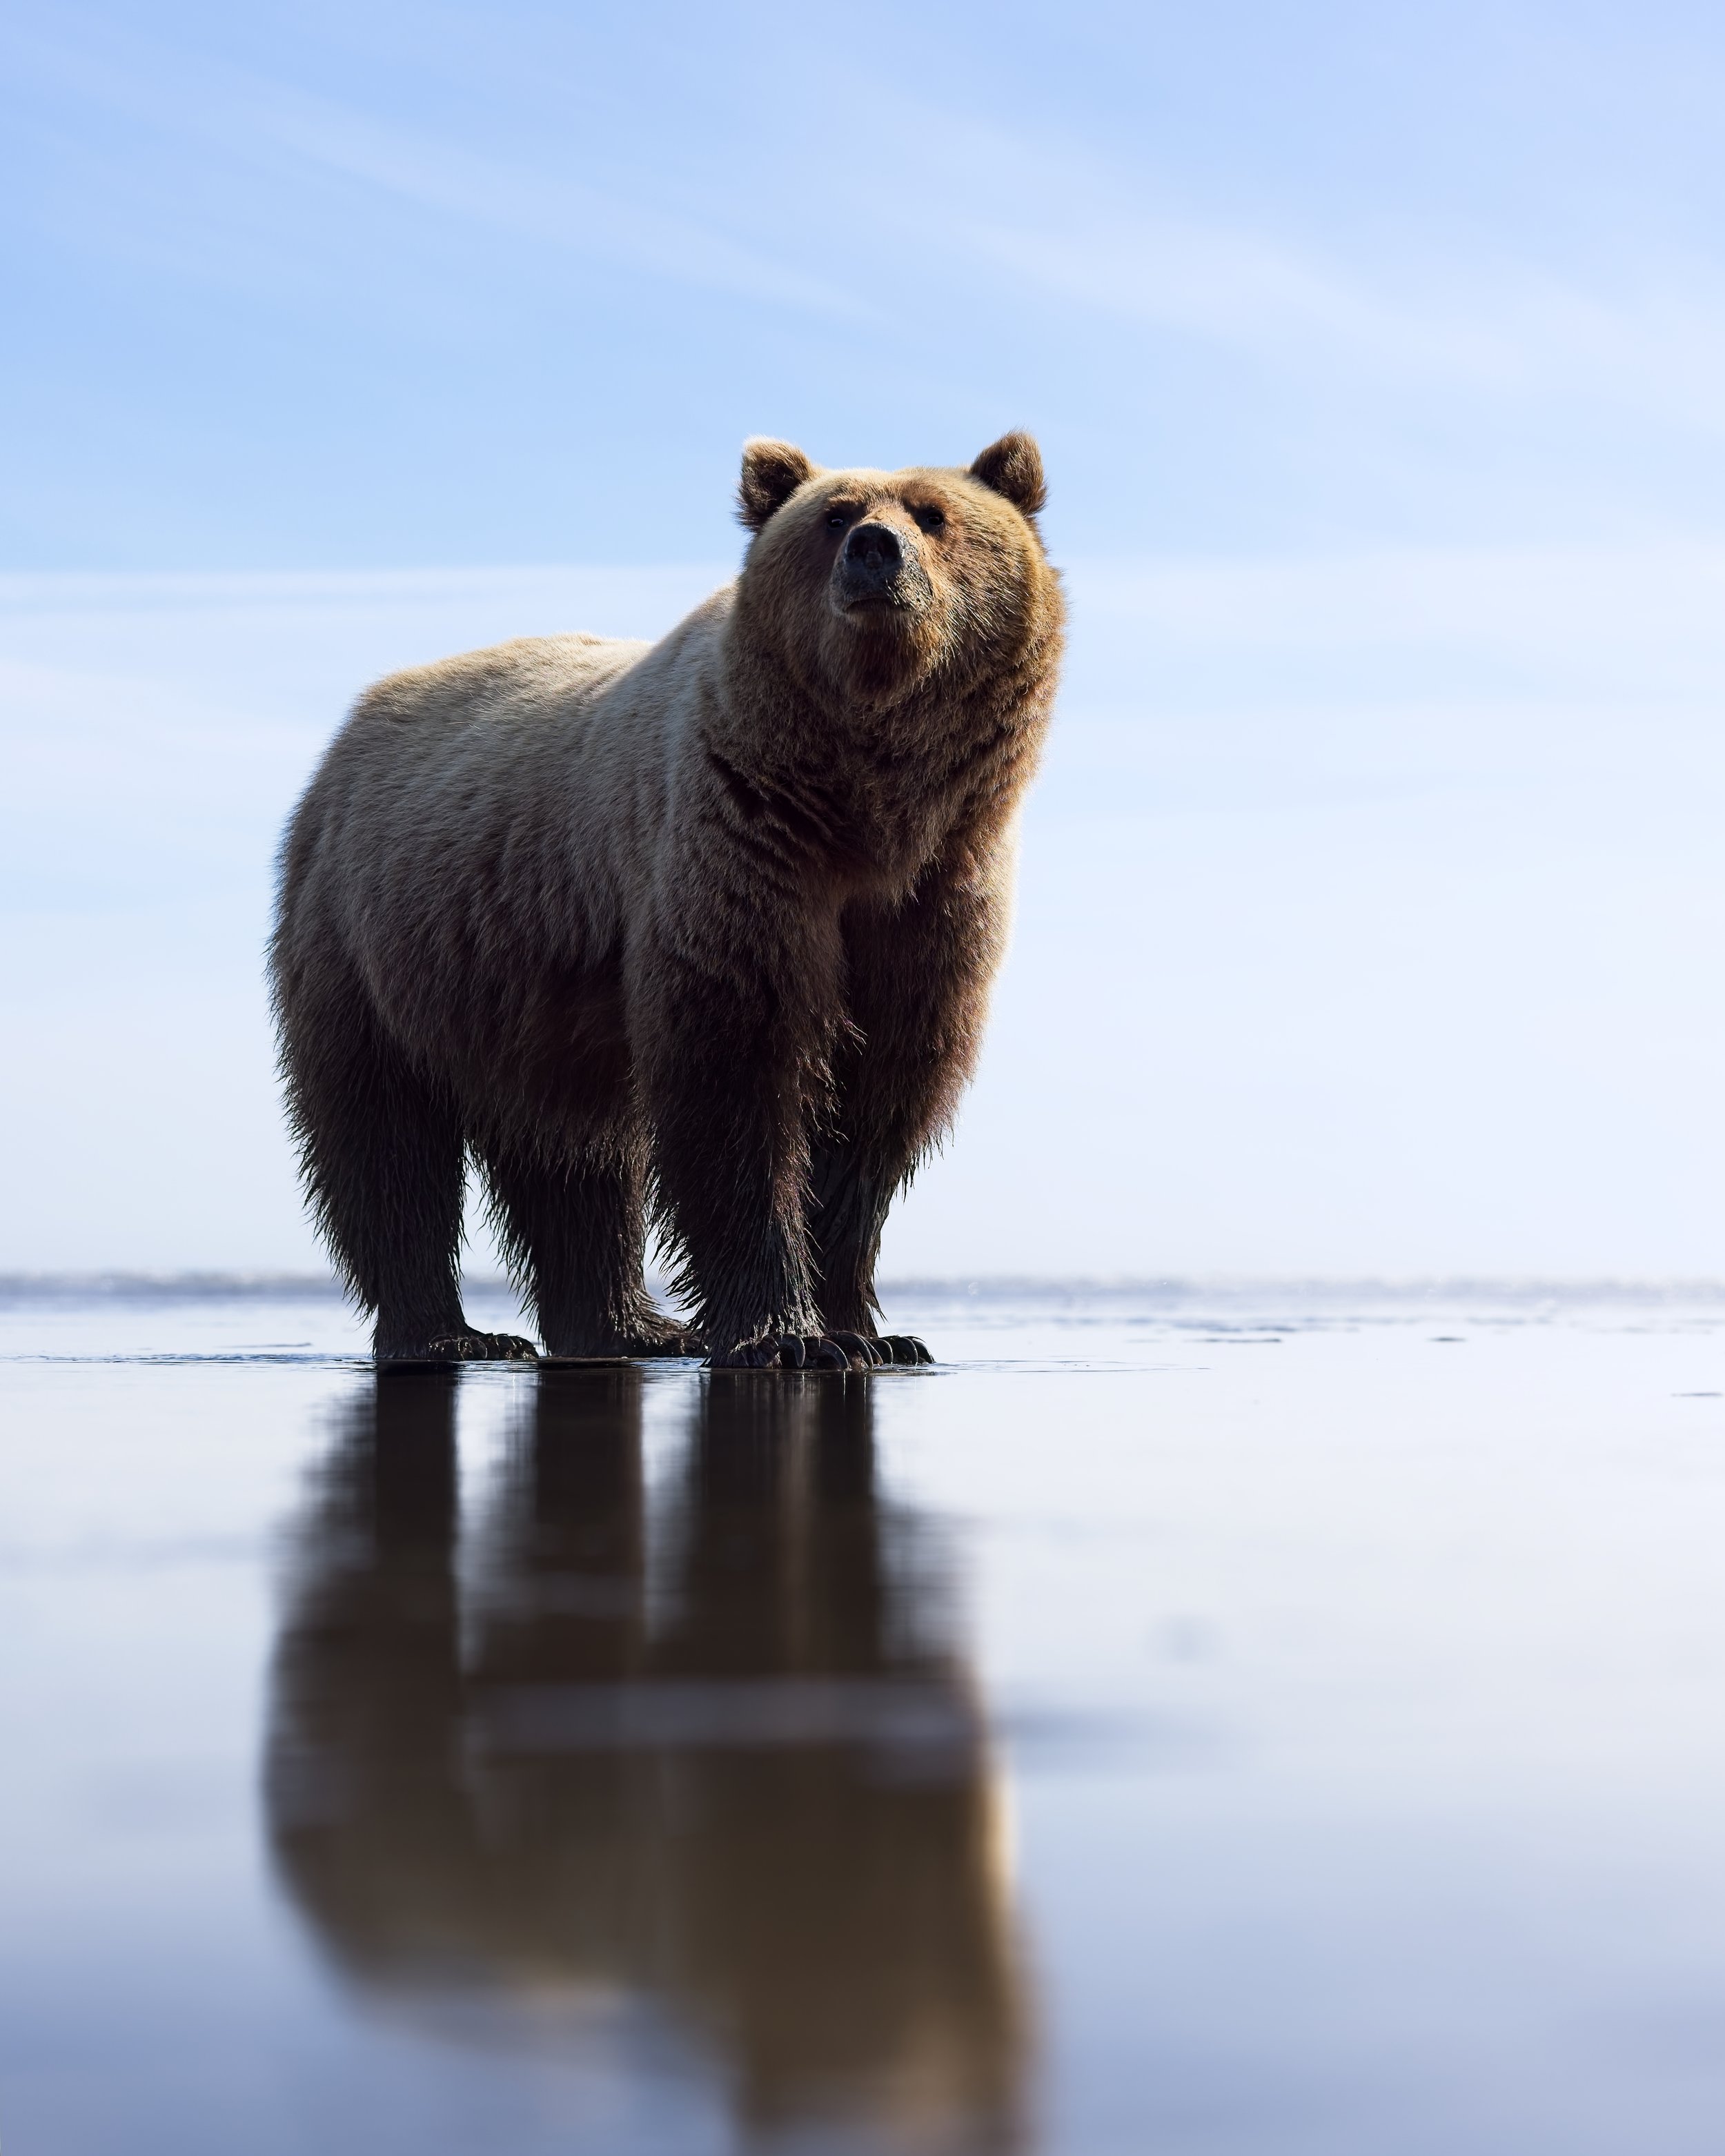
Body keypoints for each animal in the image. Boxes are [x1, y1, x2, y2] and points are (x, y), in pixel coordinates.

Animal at [269, 432, 1064, 1368]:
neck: (863, 806)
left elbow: (874, 1106)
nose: (876, 550)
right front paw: (788, 1335)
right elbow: (737, 1078)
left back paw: (626, 1325)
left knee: (575, 1156)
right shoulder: (737, 851)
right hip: (372, 940)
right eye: (834, 517)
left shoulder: (930, 904)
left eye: (934, 515)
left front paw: (874, 1329)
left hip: (530, 996)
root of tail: (353, 727)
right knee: (385, 1142)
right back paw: (450, 1332)